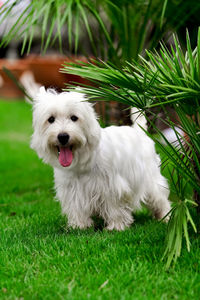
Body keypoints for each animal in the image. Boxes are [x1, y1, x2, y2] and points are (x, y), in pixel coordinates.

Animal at [31, 86, 170, 230]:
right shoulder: (71, 189)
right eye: (51, 119)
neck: (82, 162)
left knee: (160, 199)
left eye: (74, 118)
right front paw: (79, 226)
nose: (63, 136)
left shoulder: (111, 186)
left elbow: (114, 207)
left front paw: (116, 226)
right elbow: (76, 207)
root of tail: (139, 131)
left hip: (150, 179)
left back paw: (165, 217)